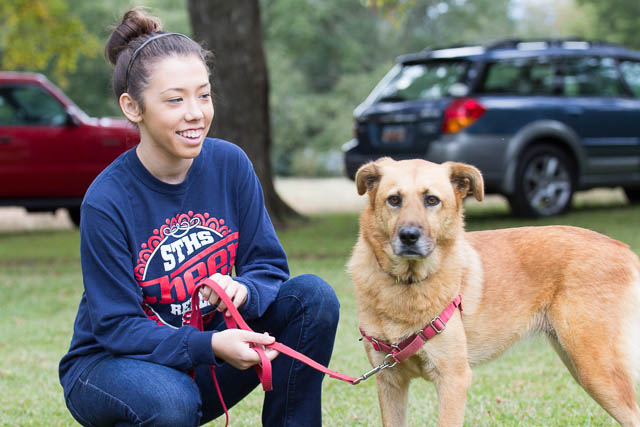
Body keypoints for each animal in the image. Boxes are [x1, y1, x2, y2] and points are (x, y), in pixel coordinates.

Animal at [350, 158, 640, 427]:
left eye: (432, 200)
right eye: (394, 200)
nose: (409, 236)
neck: (408, 285)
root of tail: (625, 250)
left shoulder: (453, 380)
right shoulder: (390, 381)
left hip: (598, 372)